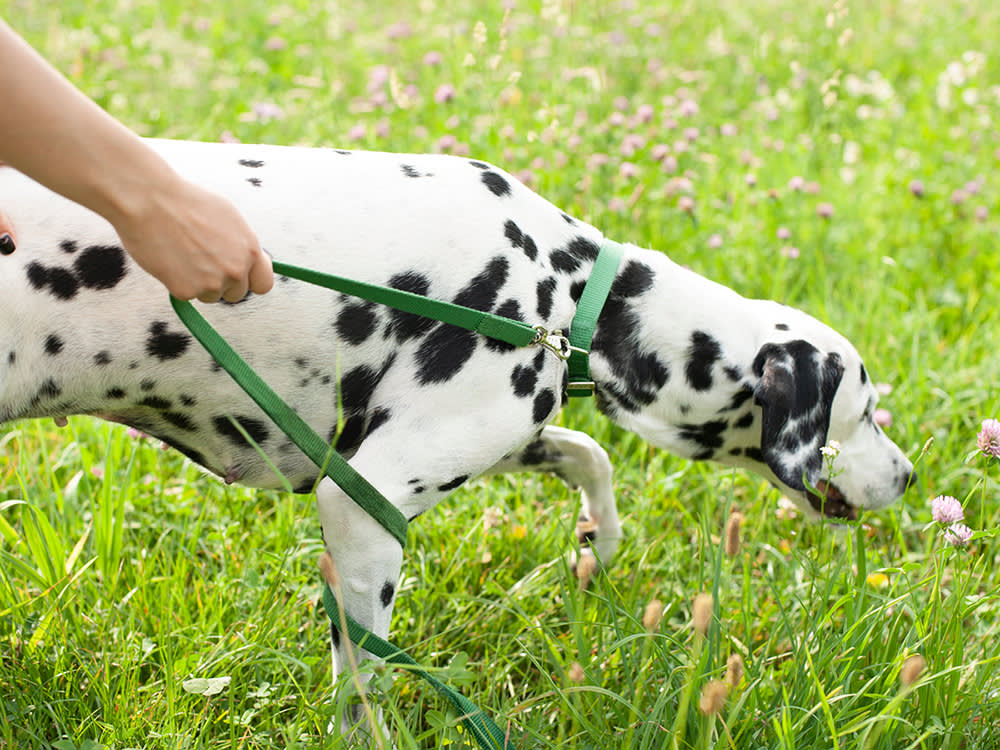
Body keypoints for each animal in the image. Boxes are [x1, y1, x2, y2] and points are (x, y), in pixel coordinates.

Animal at [0, 140, 916, 736]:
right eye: (866, 410)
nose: (909, 477)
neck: (572, 292)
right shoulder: (364, 508)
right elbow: (362, 684)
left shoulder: (488, 433)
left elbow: (588, 454)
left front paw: (597, 543)